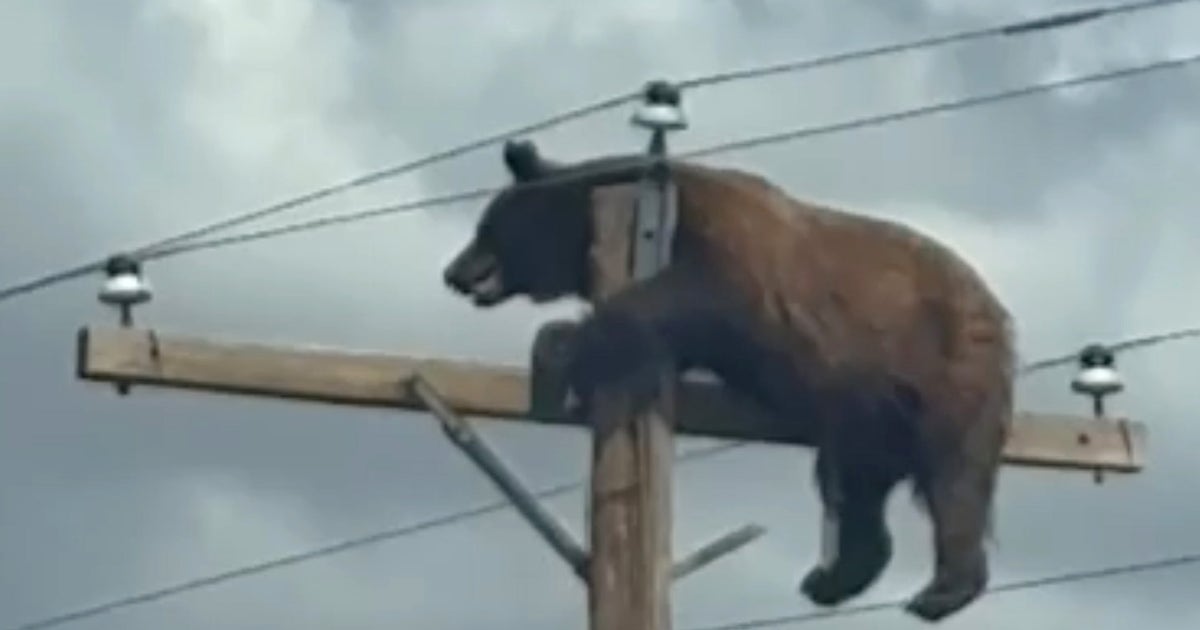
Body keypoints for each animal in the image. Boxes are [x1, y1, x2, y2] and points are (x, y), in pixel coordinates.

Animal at [442, 138, 1015, 622]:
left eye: (486, 227)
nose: (453, 272)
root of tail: (996, 309)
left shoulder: (728, 249)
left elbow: (693, 294)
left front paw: (558, 350)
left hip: (944, 367)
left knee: (954, 476)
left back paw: (942, 590)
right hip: (865, 410)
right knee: (855, 486)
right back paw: (832, 578)